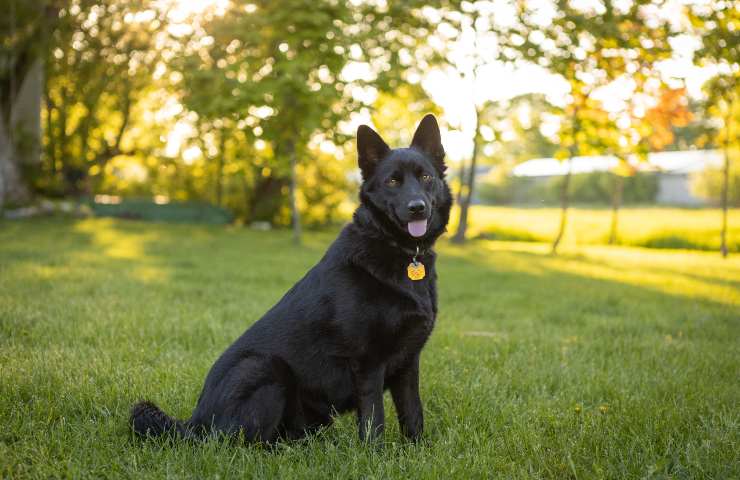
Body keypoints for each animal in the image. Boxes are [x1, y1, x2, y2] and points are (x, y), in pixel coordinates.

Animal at [132, 114, 450, 444]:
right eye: (392, 181)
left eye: (426, 177)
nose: (417, 208)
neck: (399, 250)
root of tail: (196, 424)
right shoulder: (368, 362)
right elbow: (374, 419)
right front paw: (375, 453)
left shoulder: (408, 362)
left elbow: (413, 411)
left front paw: (416, 449)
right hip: (264, 368)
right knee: (238, 443)